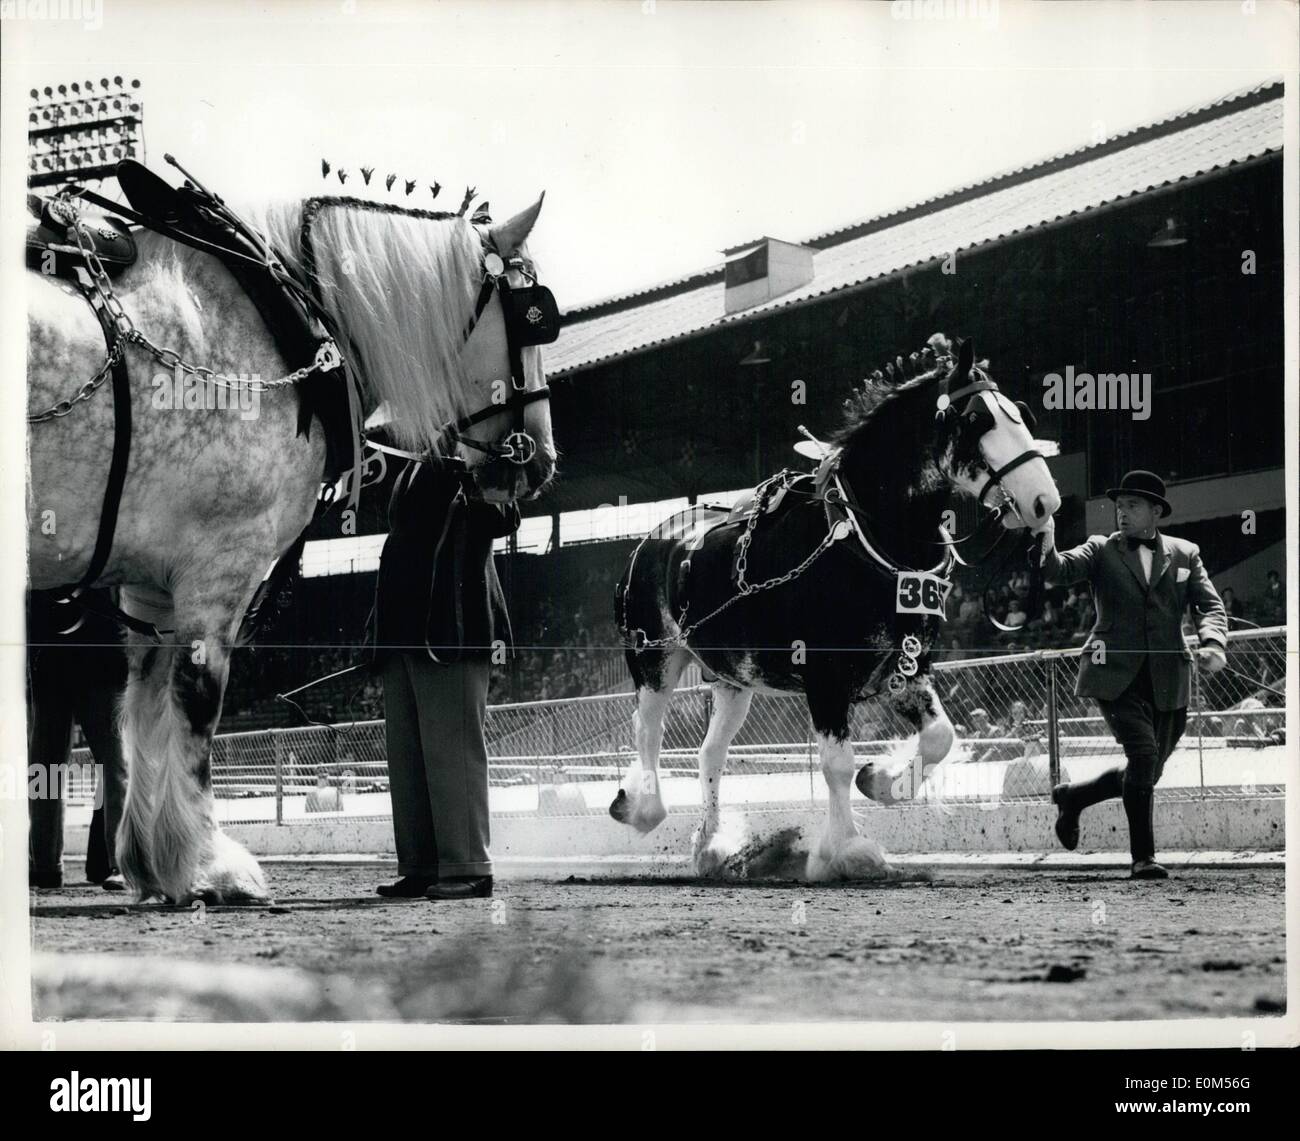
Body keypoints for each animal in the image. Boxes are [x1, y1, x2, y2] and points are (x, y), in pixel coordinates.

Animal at [608, 335, 1055, 878]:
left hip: (734, 679)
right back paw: (643, 808)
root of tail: (651, 540)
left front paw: (883, 781)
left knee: (710, 754)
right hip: (653, 659)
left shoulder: (905, 667)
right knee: (649, 733)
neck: (864, 541)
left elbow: (940, 736)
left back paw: (712, 847)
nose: (1045, 501)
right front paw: (847, 851)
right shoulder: (825, 676)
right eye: (977, 421)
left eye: (1021, 413)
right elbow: (836, 764)